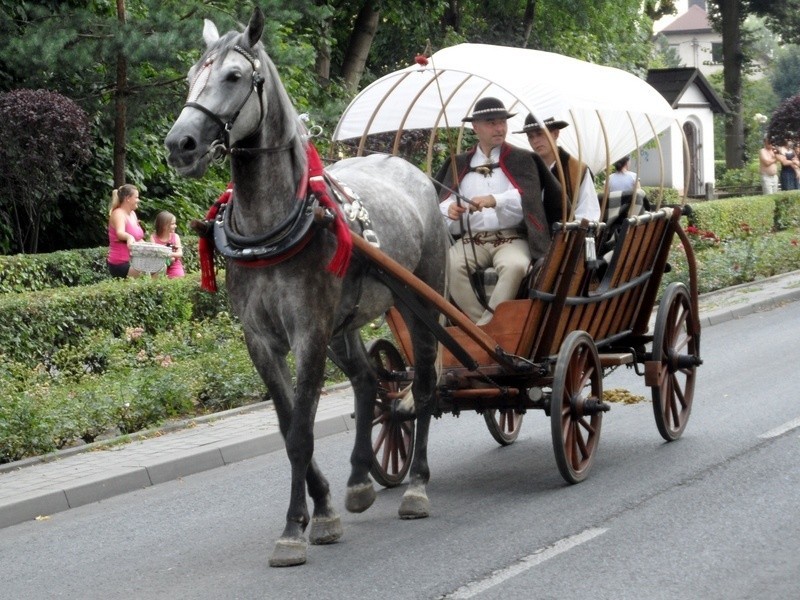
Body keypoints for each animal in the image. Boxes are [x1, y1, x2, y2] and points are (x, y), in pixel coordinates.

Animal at [165, 7, 446, 564]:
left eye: (234, 76)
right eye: (190, 76)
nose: (179, 145)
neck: (269, 226)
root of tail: (407, 167)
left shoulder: (308, 333)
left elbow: (300, 432)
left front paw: (296, 527)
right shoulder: (262, 339)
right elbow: (288, 423)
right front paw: (325, 507)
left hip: (417, 303)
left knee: (423, 387)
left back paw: (417, 485)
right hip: (345, 325)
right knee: (368, 383)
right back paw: (360, 480)